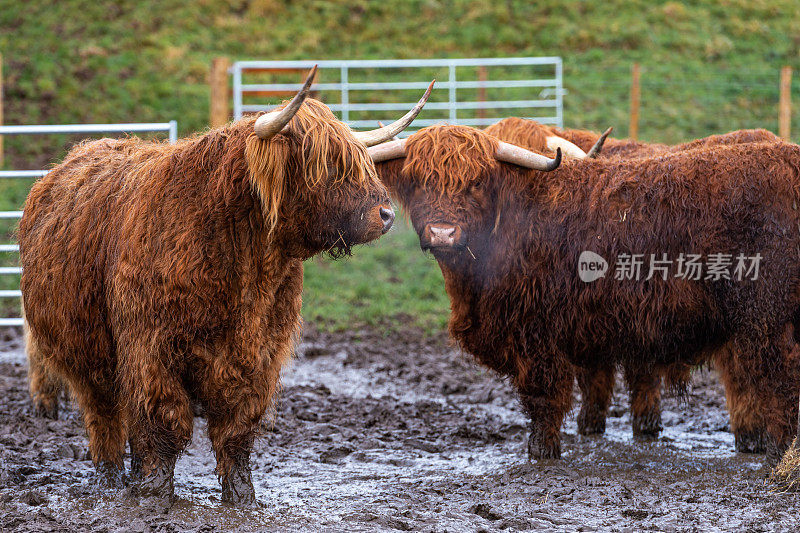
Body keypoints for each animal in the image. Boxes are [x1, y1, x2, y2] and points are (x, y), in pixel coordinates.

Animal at [18, 68, 432, 504]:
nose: (386, 214)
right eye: (324, 163)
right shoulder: (150, 345)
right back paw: (111, 479)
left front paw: (242, 496)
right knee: (104, 415)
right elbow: (164, 417)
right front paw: (154, 491)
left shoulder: (260, 352)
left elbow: (237, 426)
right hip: (83, 348)